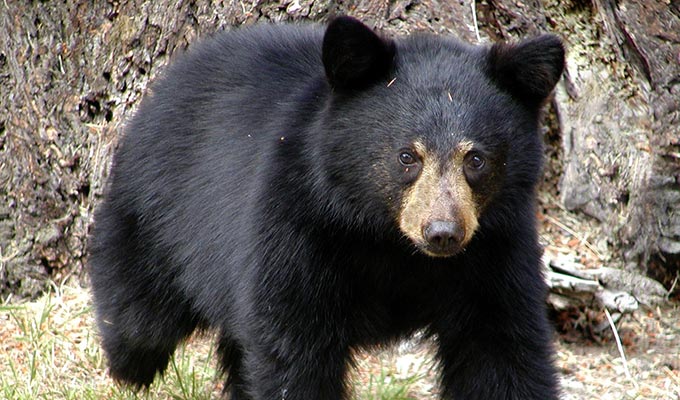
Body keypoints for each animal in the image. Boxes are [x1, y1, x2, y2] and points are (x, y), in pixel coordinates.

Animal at [91, 15, 568, 400]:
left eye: (476, 159)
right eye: (407, 156)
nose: (442, 233)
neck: (389, 239)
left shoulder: (495, 248)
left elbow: (502, 349)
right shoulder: (298, 224)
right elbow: (292, 345)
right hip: (161, 214)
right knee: (140, 316)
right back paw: (128, 371)